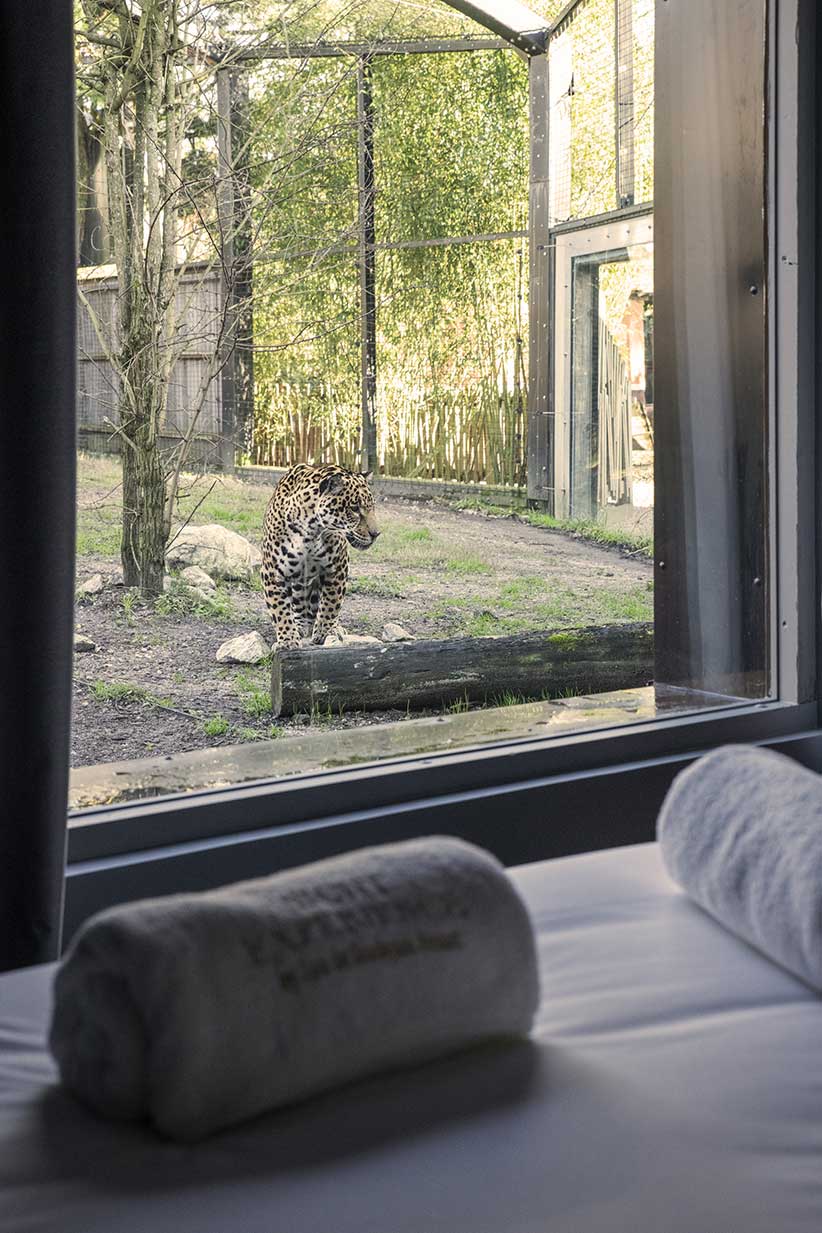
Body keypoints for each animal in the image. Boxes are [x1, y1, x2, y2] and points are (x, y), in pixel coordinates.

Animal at [260, 463, 380, 649]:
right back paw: (301, 626)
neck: (311, 530)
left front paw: (326, 632)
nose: (376, 534)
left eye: (372, 507)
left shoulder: (338, 567)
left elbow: (331, 604)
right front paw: (288, 639)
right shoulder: (272, 571)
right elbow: (280, 609)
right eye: (354, 508)